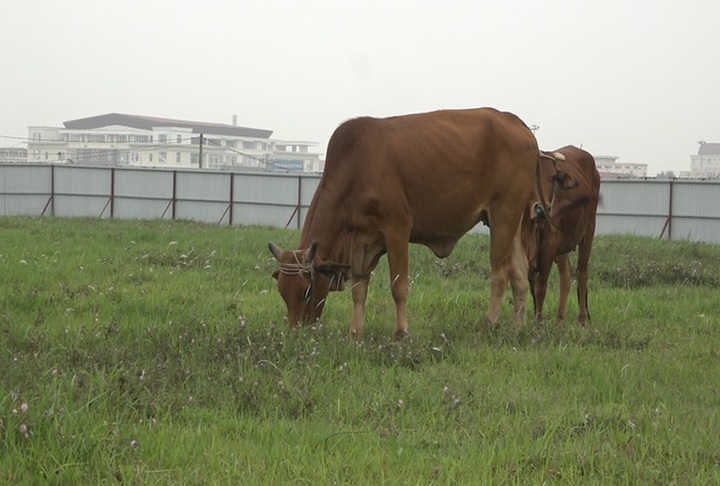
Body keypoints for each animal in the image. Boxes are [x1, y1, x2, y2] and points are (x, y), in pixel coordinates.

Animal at [268, 107, 558, 340]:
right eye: (282, 292)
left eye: (307, 291)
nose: (297, 334)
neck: (356, 167)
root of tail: (513, 120)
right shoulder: (361, 242)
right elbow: (359, 290)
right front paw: (355, 332)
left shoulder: (396, 230)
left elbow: (398, 286)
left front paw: (401, 333)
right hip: (511, 221)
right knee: (519, 273)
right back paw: (518, 327)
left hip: (502, 216)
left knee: (499, 273)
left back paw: (489, 323)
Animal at [521, 145, 601, 324]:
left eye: (552, 178)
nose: (542, 209)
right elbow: (532, 286)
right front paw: (536, 318)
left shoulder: (549, 247)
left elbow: (540, 288)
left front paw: (539, 321)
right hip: (563, 246)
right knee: (566, 276)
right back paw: (559, 319)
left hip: (588, 232)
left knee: (582, 273)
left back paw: (582, 318)